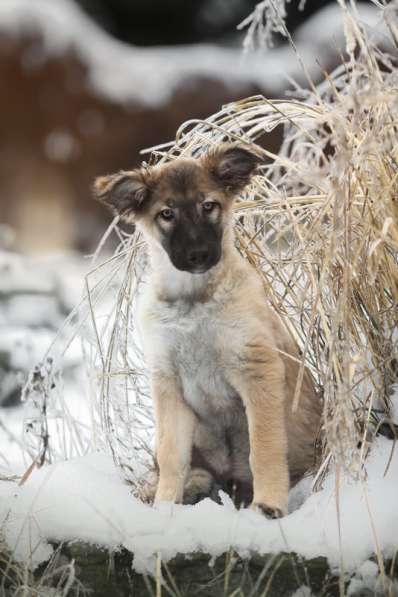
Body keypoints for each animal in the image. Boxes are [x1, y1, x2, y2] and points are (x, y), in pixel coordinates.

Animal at [95, 144, 322, 516]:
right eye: (167, 214)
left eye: (209, 206)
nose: (199, 255)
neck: (193, 300)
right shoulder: (168, 381)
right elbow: (171, 455)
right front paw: (164, 507)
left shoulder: (256, 369)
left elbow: (265, 448)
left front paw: (269, 505)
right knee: (194, 471)